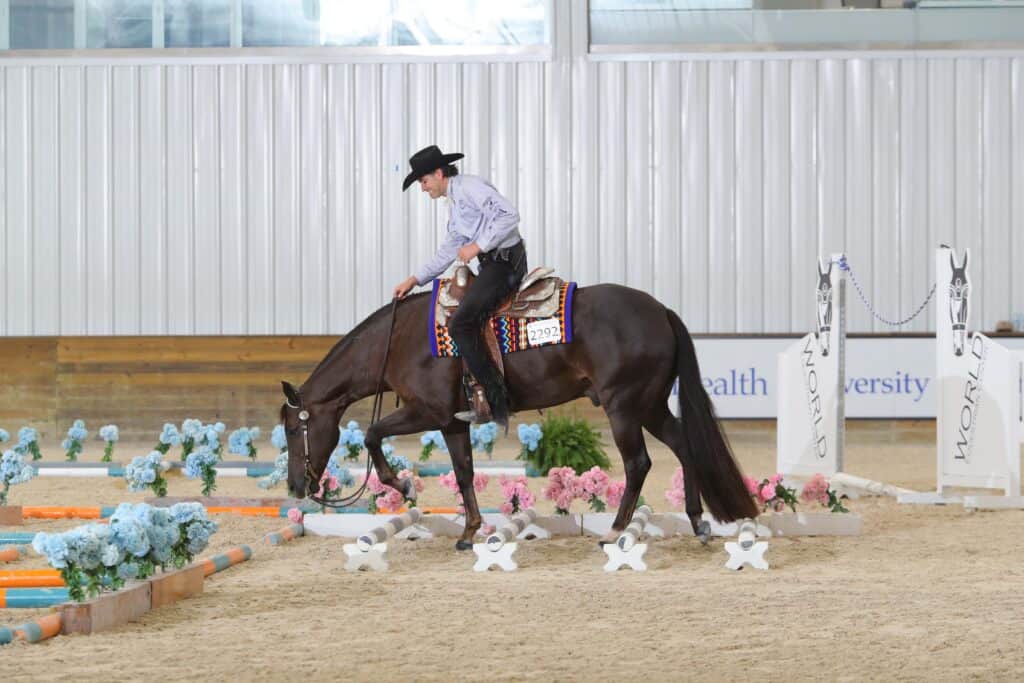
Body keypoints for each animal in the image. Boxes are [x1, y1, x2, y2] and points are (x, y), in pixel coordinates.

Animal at [279, 282, 759, 549]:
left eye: (293, 429)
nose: (297, 486)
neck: (401, 341)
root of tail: (661, 311)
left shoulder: (430, 412)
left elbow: (374, 434)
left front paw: (402, 484)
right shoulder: (453, 422)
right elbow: (465, 472)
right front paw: (469, 532)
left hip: (625, 406)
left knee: (638, 463)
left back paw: (615, 531)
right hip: (651, 405)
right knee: (683, 445)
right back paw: (698, 522)